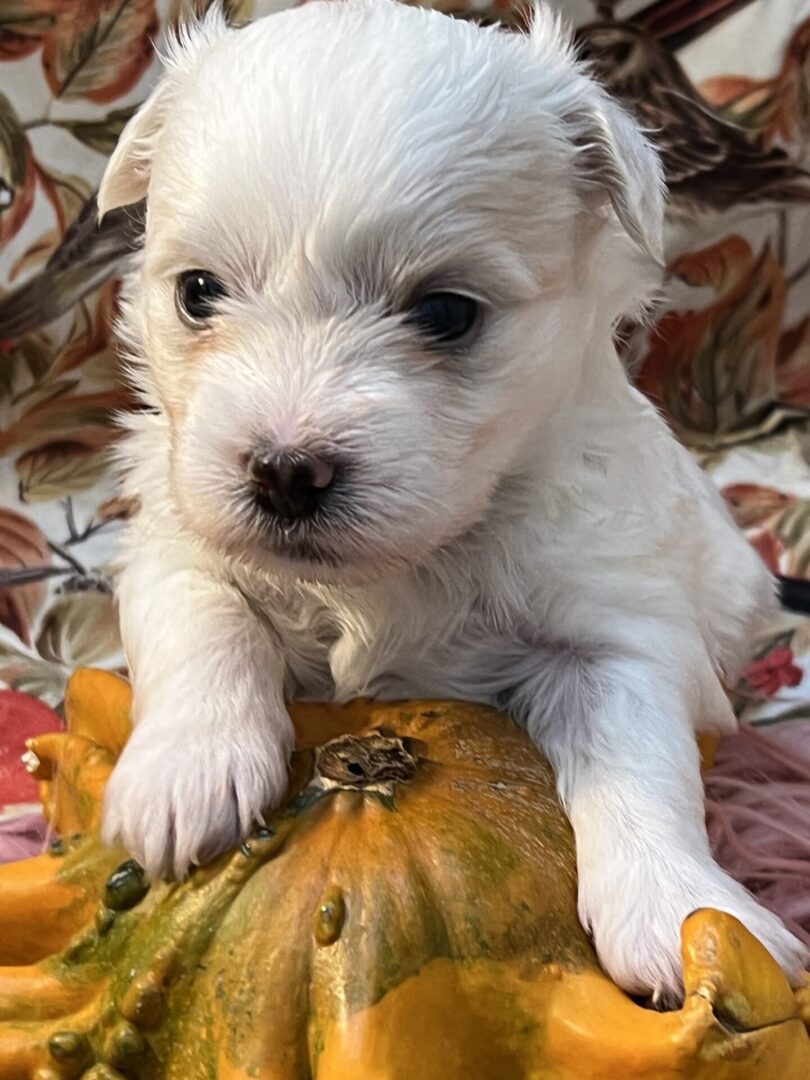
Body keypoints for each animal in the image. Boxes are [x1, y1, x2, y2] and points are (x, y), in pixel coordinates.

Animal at [98, 0, 807, 993]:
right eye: (199, 293)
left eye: (446, 313)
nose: (285, 470)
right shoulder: (171, 529)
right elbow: (202, 618)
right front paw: (185, 776)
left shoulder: (616, 634)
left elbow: (641, 764)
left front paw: (682, 912)